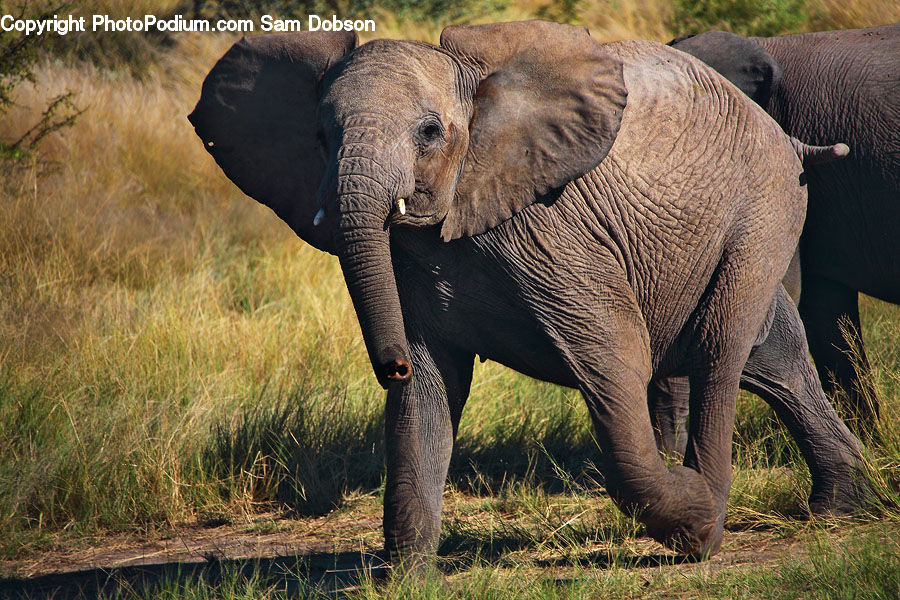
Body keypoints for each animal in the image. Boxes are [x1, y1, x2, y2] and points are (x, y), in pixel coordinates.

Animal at [188, 21, 866, 567]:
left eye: (430, 131)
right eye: (320, 137)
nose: (388, 365)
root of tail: (784, 137)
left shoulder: (555, 230)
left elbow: (616, 361)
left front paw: (690, 520)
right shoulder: (412, 263)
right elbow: (428, 391)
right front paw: (407, 579)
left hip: (765, 207)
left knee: (720, 351)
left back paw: (712, 522)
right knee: (770, 355)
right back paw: (845, 507)